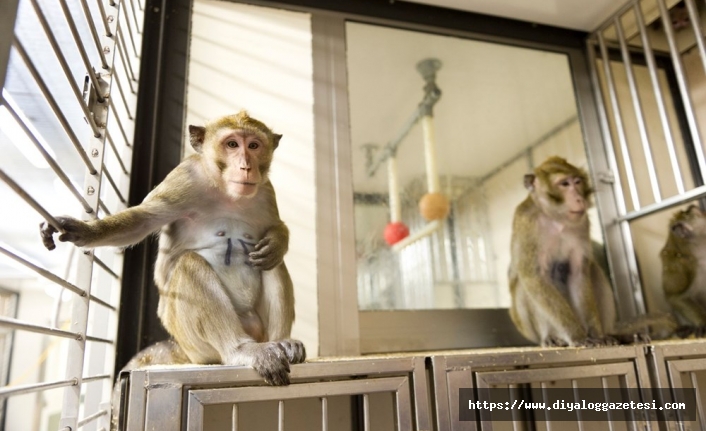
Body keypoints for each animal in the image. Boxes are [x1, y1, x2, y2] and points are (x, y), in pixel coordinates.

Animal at [40, 111, 306, 388]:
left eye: (254, 145)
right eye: (232, 144)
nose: (246, 166)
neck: (225, 189)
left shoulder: (266, 190)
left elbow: (274, 226)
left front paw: (277, 241)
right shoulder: (183, 179)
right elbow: (141, 221)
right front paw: (83, 230)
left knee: (272, 264)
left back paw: (282, 340)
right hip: (194, 343)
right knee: (189, 263)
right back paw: (241, 350)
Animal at [506, 157, 672, 350]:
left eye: (577, 182)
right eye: (564, 184)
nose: (579, 199)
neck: (556, 219)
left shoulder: (582, 224)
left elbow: (579, 273)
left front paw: (597, 335)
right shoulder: (527, 225)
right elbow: (534, 278)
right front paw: (578, 336)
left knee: (593, 270)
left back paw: (617, 335)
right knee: (523, 285)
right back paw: (551, 338)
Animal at [656, 205, 704, 338]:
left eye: (680, 224)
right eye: (675, 227)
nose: (679, 230)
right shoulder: (686, 265)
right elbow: (677, 296)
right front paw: (703, 324)